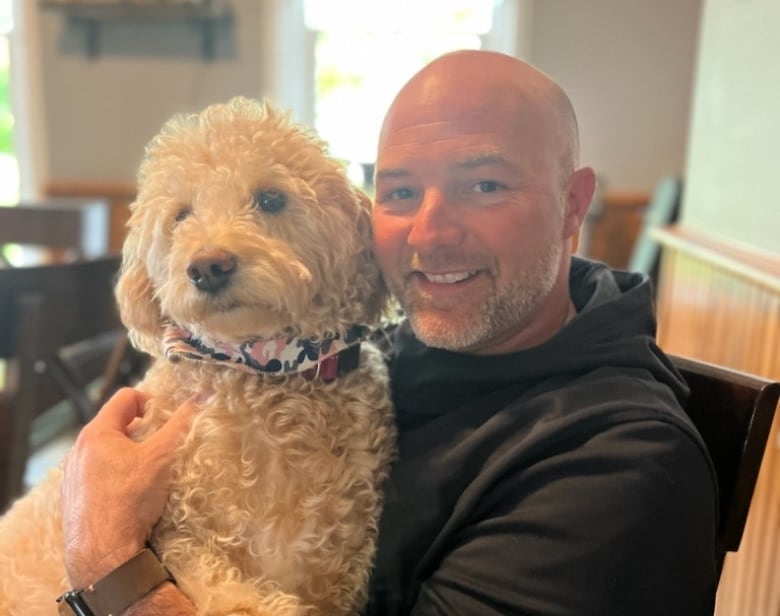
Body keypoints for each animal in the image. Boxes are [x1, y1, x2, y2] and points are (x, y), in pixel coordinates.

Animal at [1, 97, 396, 616]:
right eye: (180, 215)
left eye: (271, 199)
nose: (208, 266)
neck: (263, 375)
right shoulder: (179, 537)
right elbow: (229, 591)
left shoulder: (336, 571)